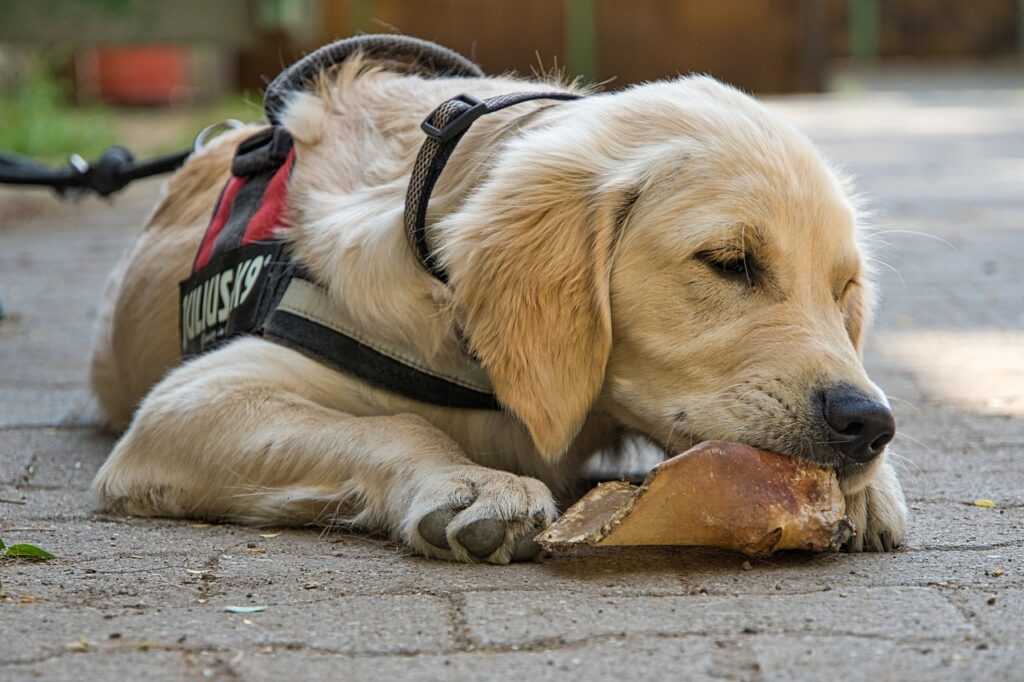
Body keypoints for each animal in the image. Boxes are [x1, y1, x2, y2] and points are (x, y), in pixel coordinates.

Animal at [86, 55, 905, 561]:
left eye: (843, 293)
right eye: (730, 262)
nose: (869, 425)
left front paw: (871, 491)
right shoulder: (189, 401)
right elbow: (398, 423)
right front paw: (473, 485)